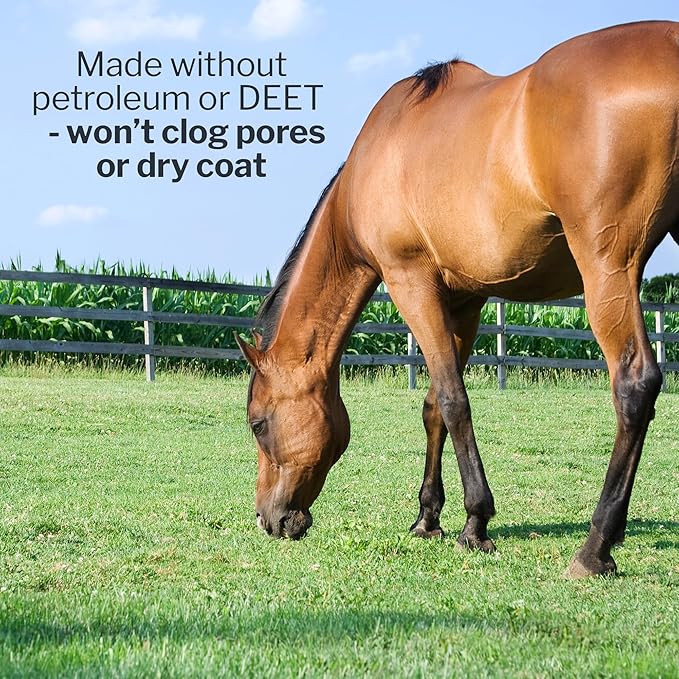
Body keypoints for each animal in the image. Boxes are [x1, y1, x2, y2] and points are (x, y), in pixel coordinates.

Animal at [236, 21, 679, 578]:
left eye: (259, 423)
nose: (267, 520)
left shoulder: (410, 283)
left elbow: (453, 399)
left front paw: (476, 523)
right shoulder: (466, 302)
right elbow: (434, 406)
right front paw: (429, 517)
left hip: (608, 268)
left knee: (635, 384)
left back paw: (595, 546)